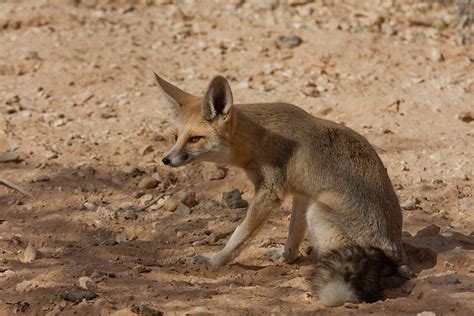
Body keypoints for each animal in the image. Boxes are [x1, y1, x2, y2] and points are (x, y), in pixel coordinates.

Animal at [154, 72, 410, 306]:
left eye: (195, 139)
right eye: (176, 137)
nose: (166, 160)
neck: (258, 138)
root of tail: (391, 253)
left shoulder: (269, 193)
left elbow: (238, 236)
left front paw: (215, 261)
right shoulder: (301, 194)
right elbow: (293, 233)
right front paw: (286, 258)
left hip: (318, 211)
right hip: (315, 206)